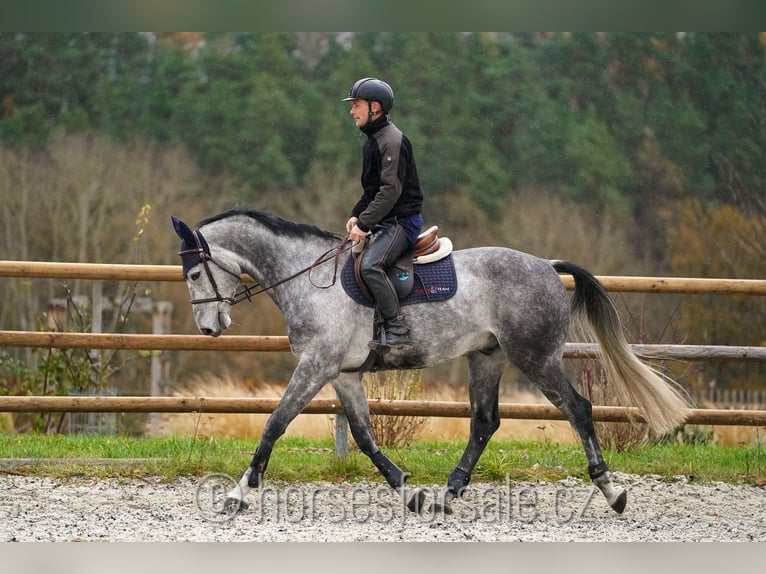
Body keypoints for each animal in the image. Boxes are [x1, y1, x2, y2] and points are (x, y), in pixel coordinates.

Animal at [176, 210, 696, 516]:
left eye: (196, 272)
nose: (209, 328)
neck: (309, 279)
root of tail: (546, 266)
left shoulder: (316, 367)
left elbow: (274, 424)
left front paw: (236, 495)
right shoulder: (342, 374)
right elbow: (364, 435)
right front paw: (410, 492)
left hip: (536, 357)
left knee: (579, 410)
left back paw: (612, 492)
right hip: (486, 358)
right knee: (485, 422)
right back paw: (448, 494)